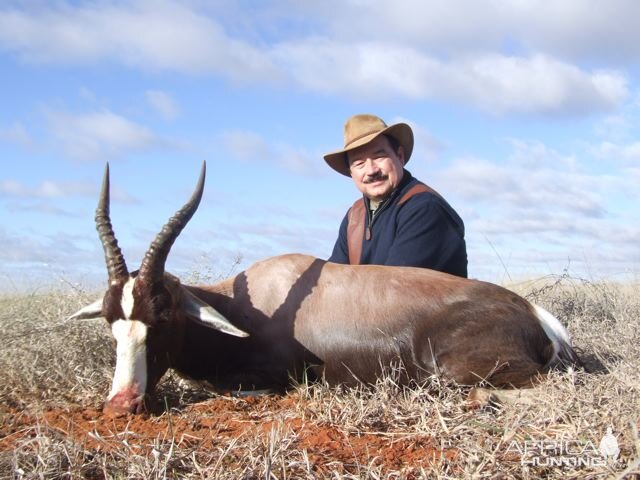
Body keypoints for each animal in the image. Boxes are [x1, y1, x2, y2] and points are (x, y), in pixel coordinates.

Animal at [69, 162, 580, 412]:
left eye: (163, 316)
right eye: (112, 321)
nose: (121, 405)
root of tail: (534, 314)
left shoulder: (273, 379)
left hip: (458, 372)